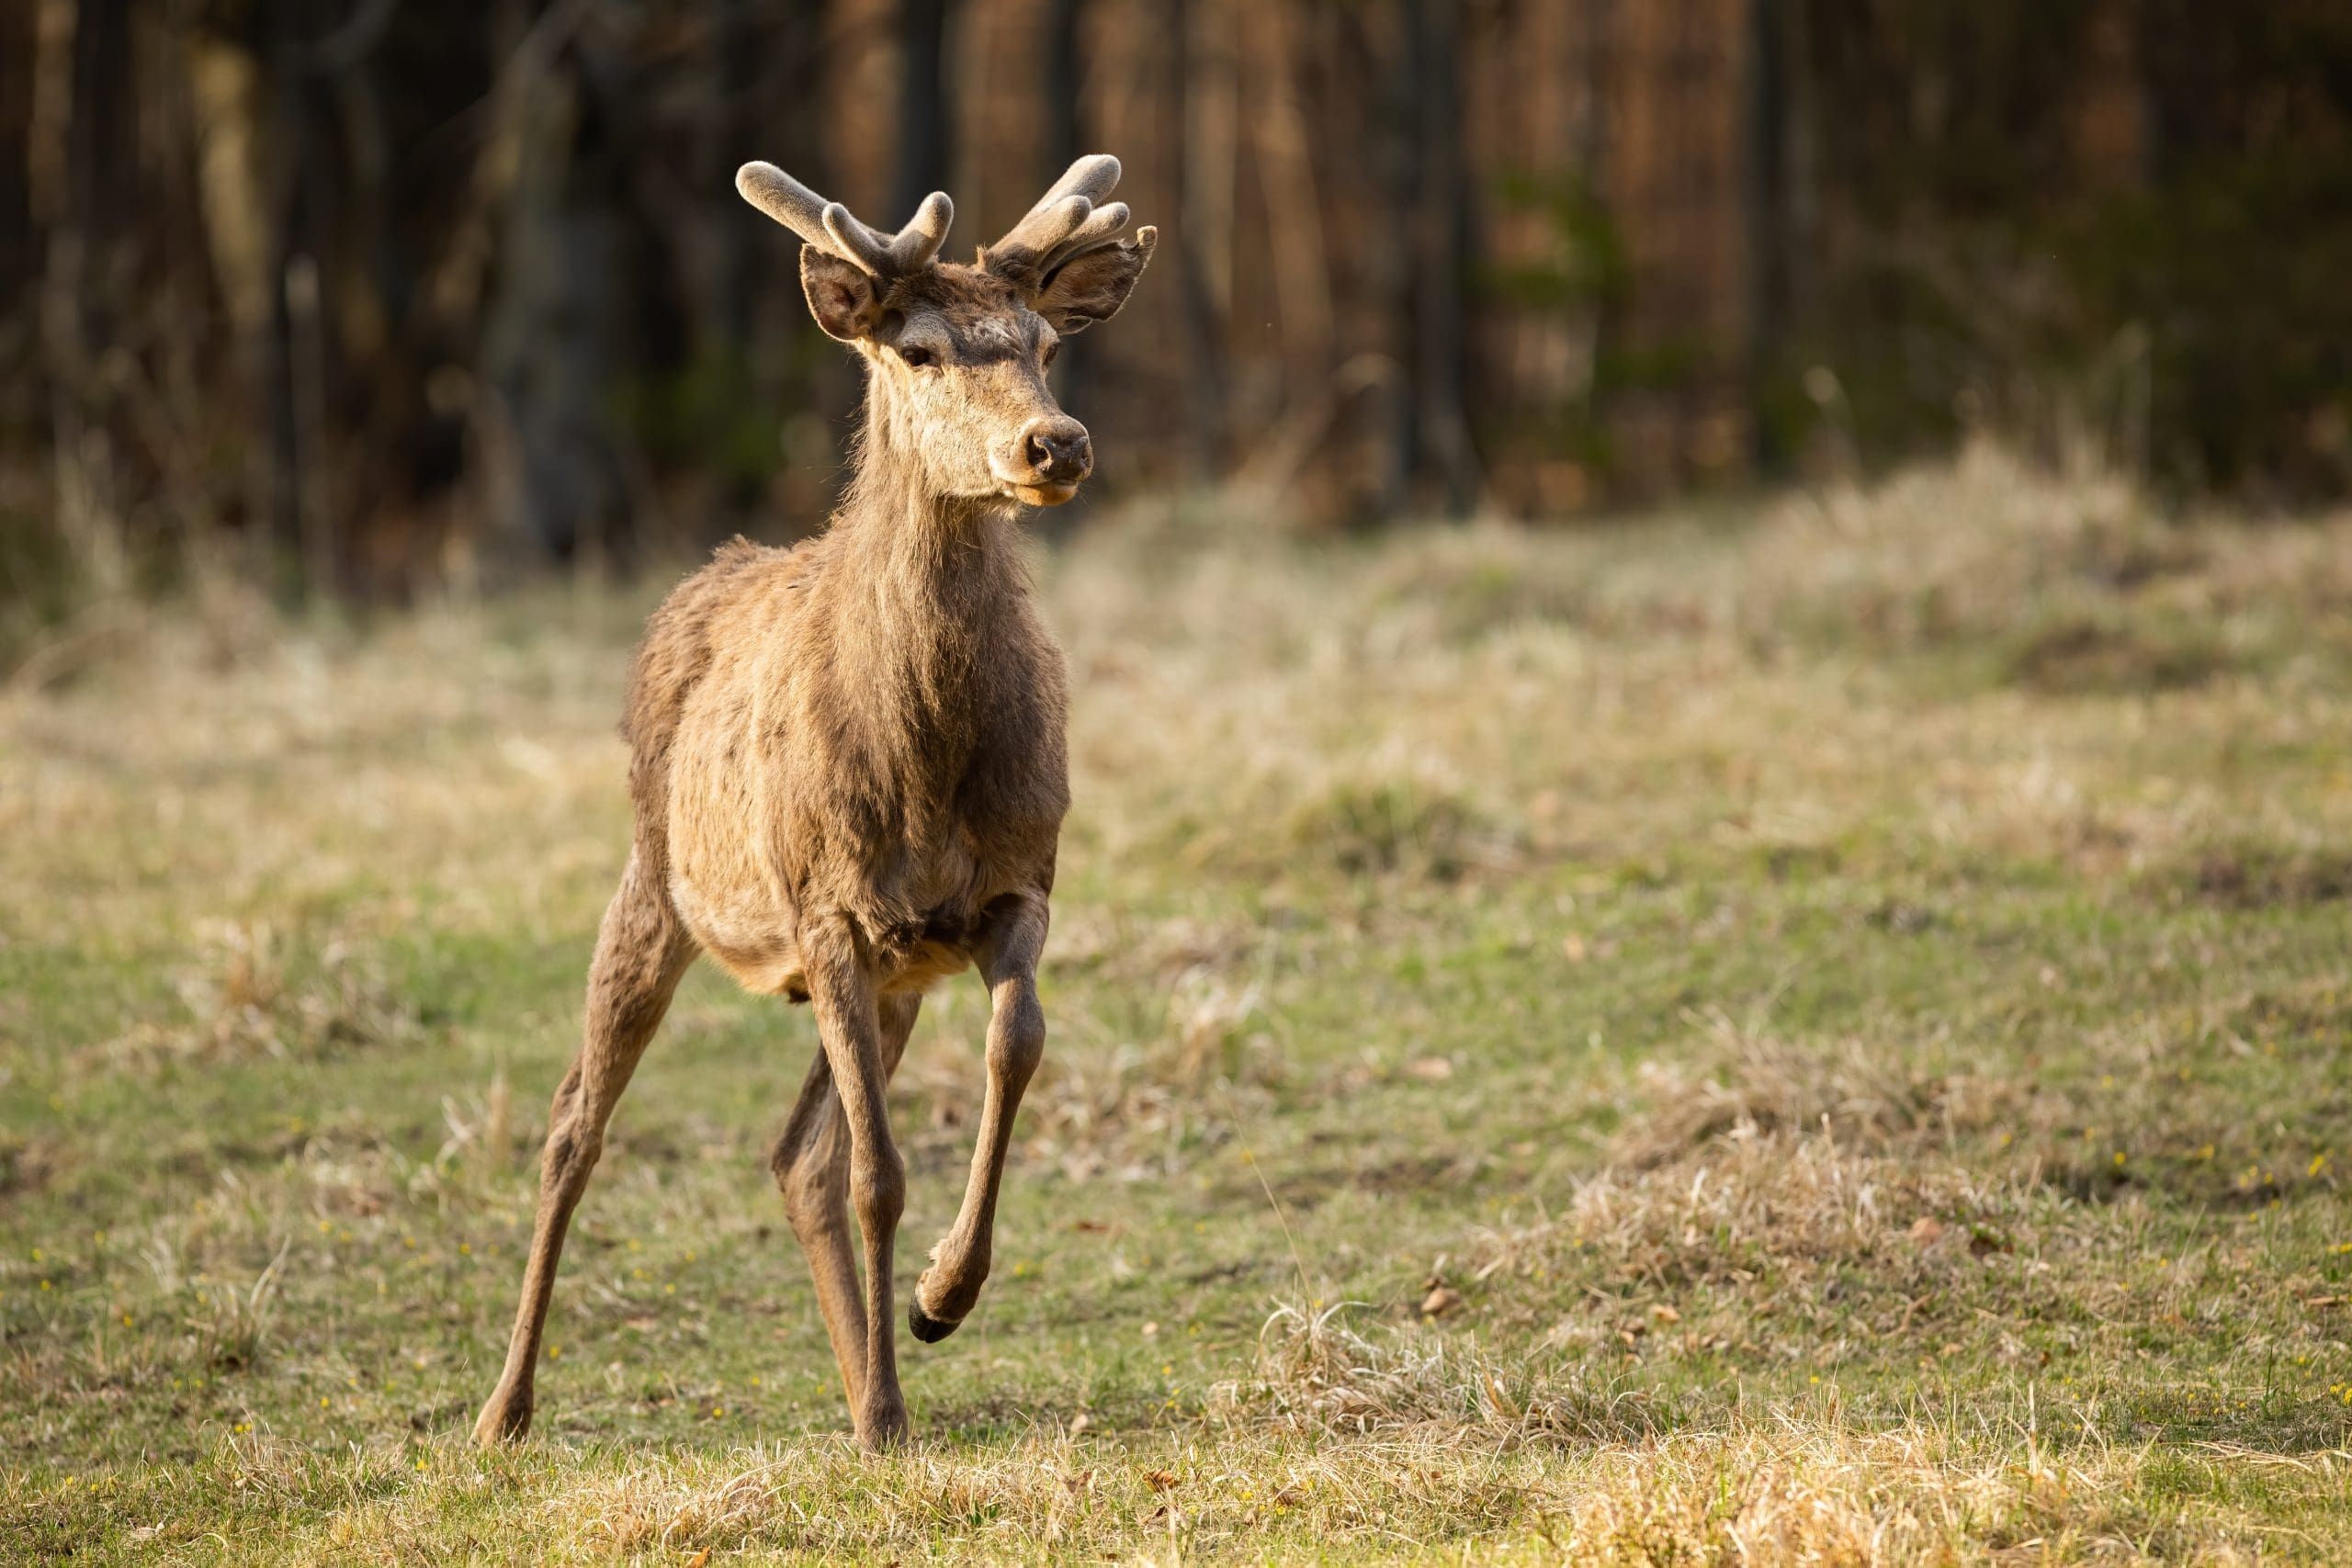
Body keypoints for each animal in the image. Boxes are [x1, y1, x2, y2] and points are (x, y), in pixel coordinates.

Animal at [470, 152, 1157, 1457]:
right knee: (576, 1122)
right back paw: (503, 1410)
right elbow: (878, 1170)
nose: (1054, 442)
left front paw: (941, 1299)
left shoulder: (1015, 889)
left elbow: (1015, 1050)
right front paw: (896, 1378)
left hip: (891, 974)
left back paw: (862, 1389)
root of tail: (703, 577)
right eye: (922, 351)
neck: (924, 768)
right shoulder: (826, 908)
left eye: (1045, 342)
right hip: (656, 883)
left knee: (794, 1152)